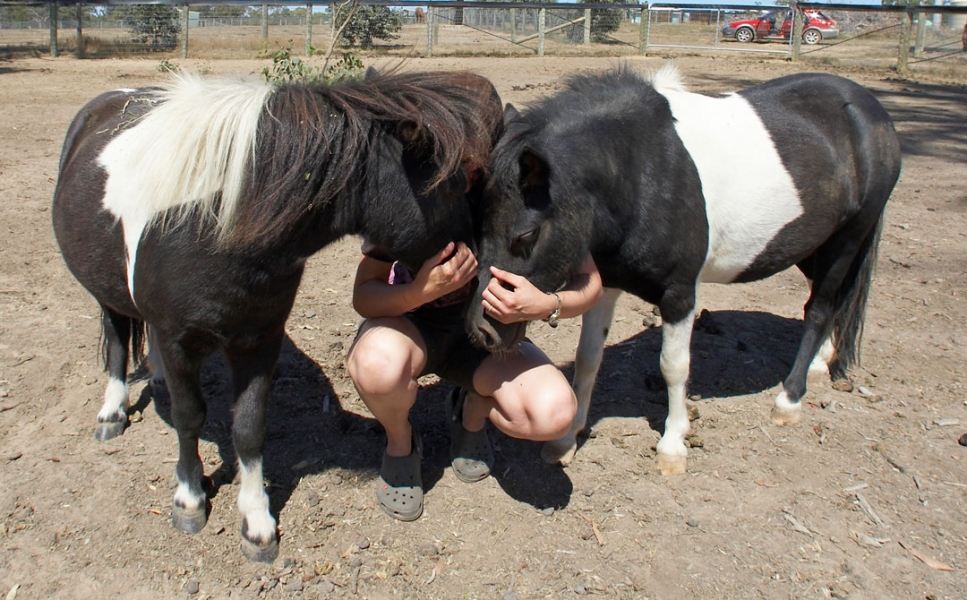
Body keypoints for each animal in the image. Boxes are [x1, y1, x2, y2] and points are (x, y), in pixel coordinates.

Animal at [52, 69, 503, 562]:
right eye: (454, 185)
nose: (479, 303)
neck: (213, 222)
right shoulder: (178, 339)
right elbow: (190, 417)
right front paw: (190, 499)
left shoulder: (260, 338)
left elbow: (250, 428)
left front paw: (257, 522)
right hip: (106, 292)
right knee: (117, 336)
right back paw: (112, 413)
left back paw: (155, 380)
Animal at [467, 66, 901, 475]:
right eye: (478, 225)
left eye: (526, 234)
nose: (482, 331)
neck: (642, 171)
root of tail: (869, 108)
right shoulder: (607, 284)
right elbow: (589, 357)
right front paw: (566, 440)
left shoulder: (679, 293)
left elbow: (673, 367)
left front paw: (673, 445)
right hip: (813, 246)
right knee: (832, 302)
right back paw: (820, 363)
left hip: (847, 239)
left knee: (821, 308)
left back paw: (789, 399)